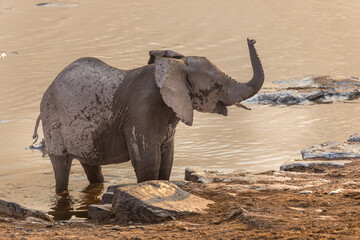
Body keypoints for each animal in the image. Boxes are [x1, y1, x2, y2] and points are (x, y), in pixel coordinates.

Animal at [32, 38, 264, 194]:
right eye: (217, 85)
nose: (251, 39)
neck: (172, 66)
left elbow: (166, 162)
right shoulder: (141, 113)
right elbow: (148, 163)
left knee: (90, 166)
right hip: (53, 122)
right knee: (61, 167)